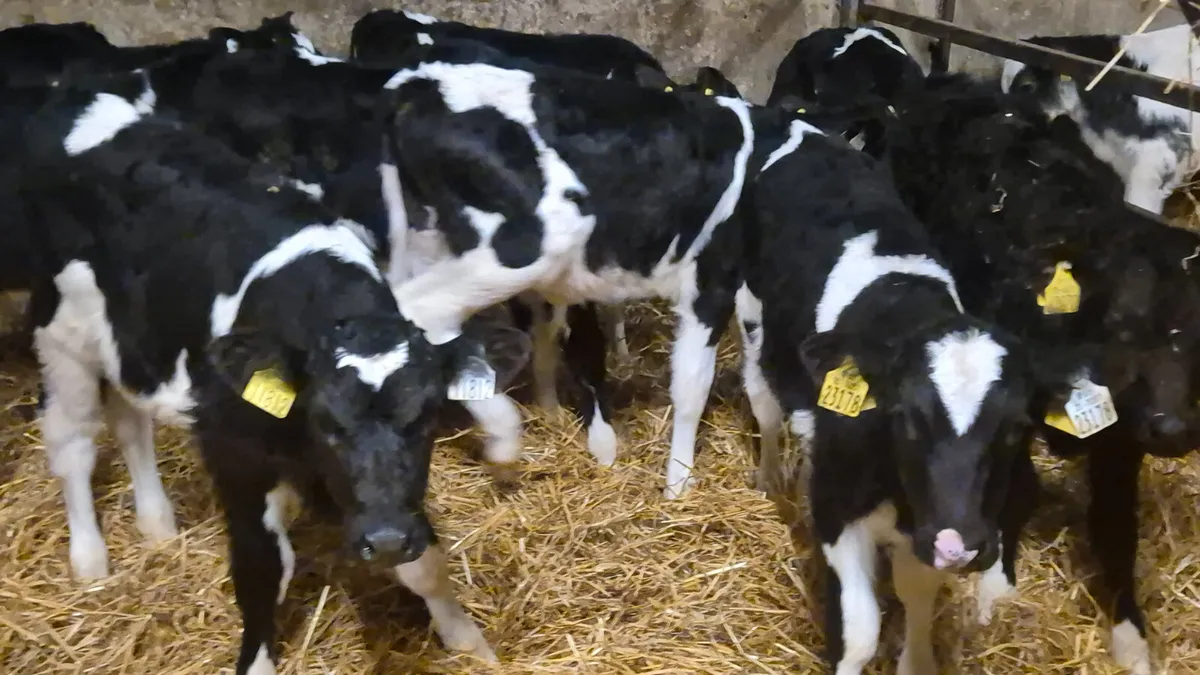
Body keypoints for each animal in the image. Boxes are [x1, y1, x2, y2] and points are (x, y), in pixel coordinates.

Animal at [13, 76, 496, 674]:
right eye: (326, 422)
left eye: (426, 418)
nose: (383, 540)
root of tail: (75, 95)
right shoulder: (234, 452)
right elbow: (262, 568)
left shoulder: (389, 497)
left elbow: (424, 560)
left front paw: (468, 641)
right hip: (60, 334)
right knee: (73, 441)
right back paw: (89, 559)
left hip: (129, 342)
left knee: (129, 419)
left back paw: (156, 522)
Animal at [737, 112, 1058, 675]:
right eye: (906, 416)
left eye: (1016, 427)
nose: (960, 545)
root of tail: (806, 132)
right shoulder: (836, 512)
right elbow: (861, 629)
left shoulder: (925, 531)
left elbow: (917, 591)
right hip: (752, 318)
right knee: (767, 408)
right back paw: (770, 476)